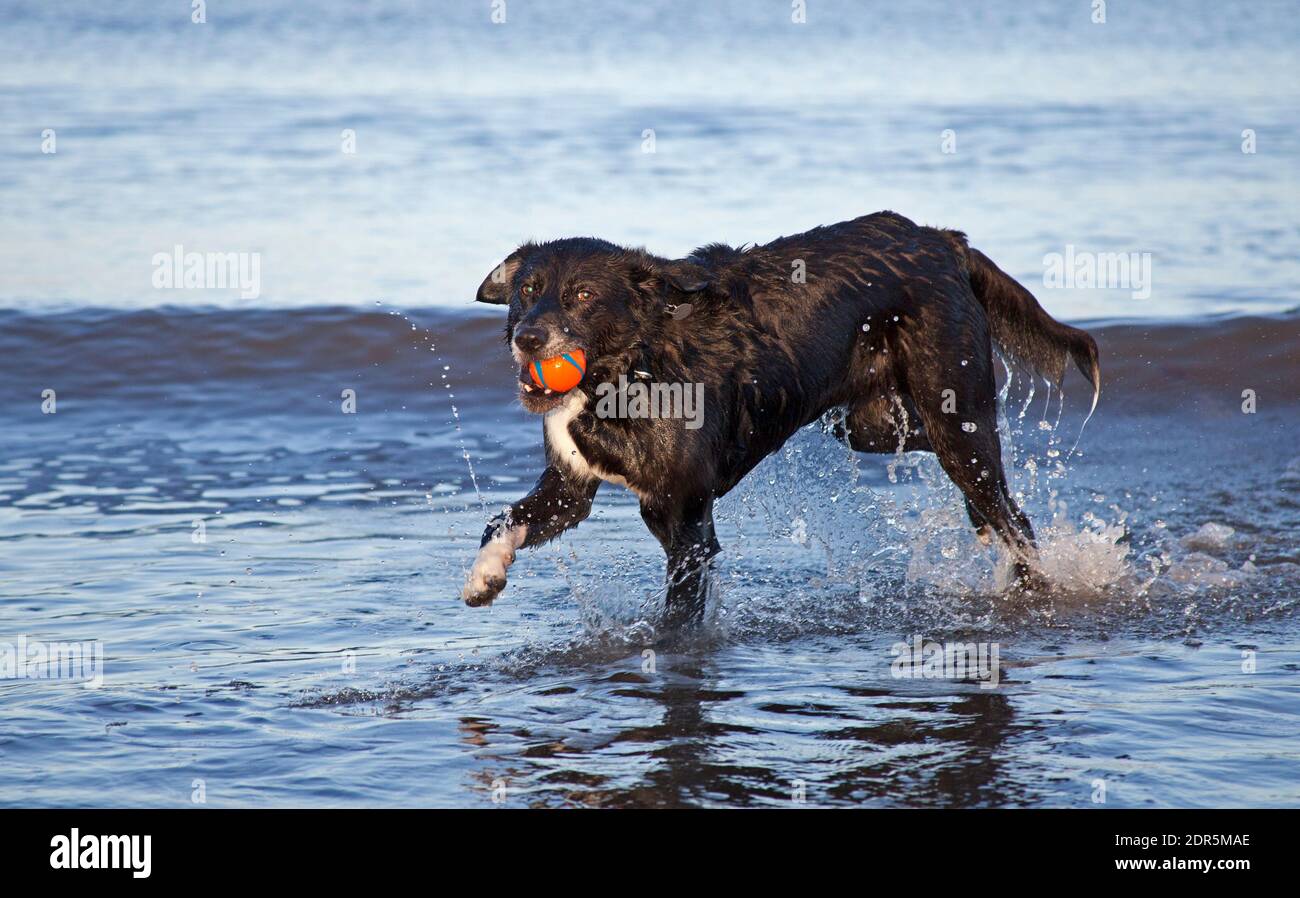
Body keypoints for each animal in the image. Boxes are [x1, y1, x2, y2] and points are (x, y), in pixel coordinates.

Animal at [460, 214, 1097, 628]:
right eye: (527, 289)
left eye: (584, 295)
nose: (527, 338)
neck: (628, 371)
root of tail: (941, 240)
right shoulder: (569, 489)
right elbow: (500, 521)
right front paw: (485, 576)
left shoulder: (687, 526)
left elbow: (677, 622)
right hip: (866, 426)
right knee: (969, 482)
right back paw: (981, 524)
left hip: (956, 415)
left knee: (1012, 513)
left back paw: (1031, 585)